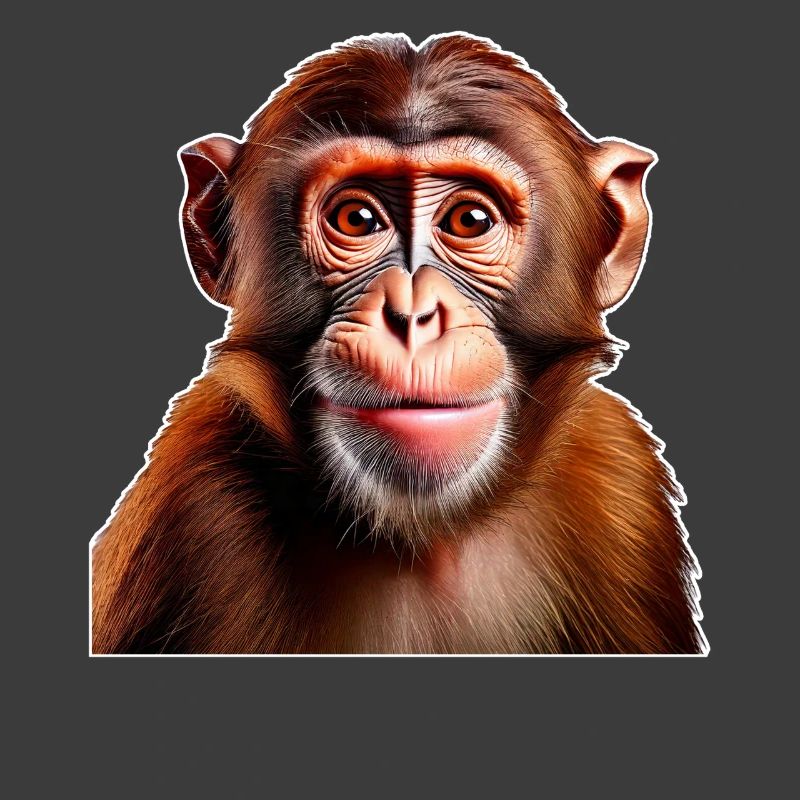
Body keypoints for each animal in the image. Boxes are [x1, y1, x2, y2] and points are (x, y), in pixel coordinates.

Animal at [91, 33, 705, 654]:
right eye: (356, 219)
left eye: (470, 219)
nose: (412, 314)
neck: (424, 540)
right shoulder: (191, 507)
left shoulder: (620, 476)